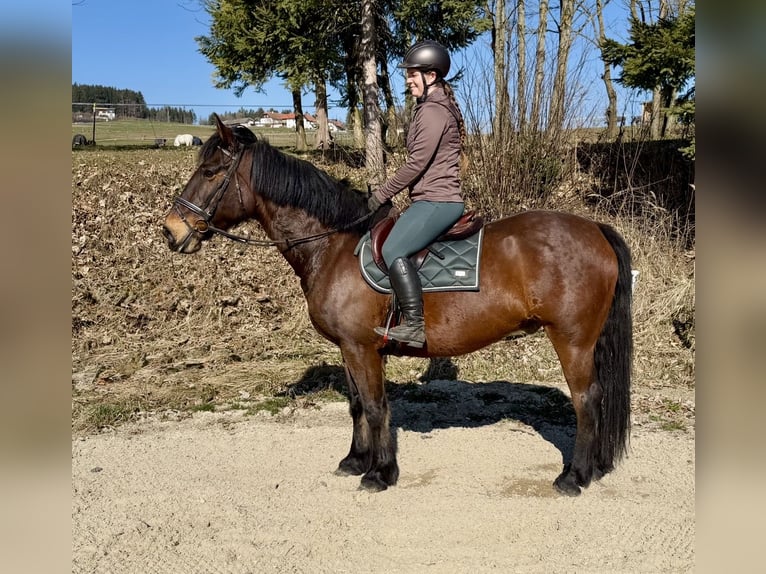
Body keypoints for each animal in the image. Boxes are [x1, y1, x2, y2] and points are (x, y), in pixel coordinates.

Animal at [162, 114, 633, 496]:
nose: (170, 231)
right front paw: (355, 461)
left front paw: (379, 473)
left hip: (572, 340)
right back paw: (592, 469)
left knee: (587, 399)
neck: (334, 245)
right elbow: (357, 405)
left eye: (210, 171)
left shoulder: (361, 348)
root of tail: (594, 229)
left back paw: (574, 476)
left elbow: (375, 407)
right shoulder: (350, 348)